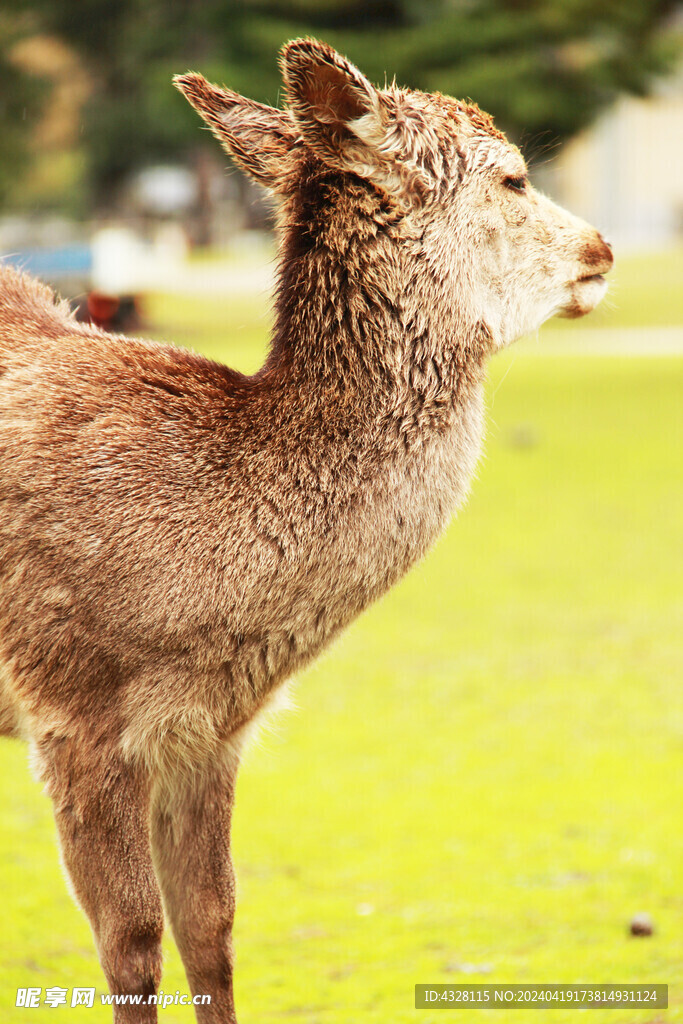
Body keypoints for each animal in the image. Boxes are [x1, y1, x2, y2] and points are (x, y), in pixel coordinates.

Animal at [0, 36, 614, 1019]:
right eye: (514, 176)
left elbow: (211, 924)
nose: (602, 249)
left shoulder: (211, 732)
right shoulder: (70, 706)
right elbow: (130, 943)